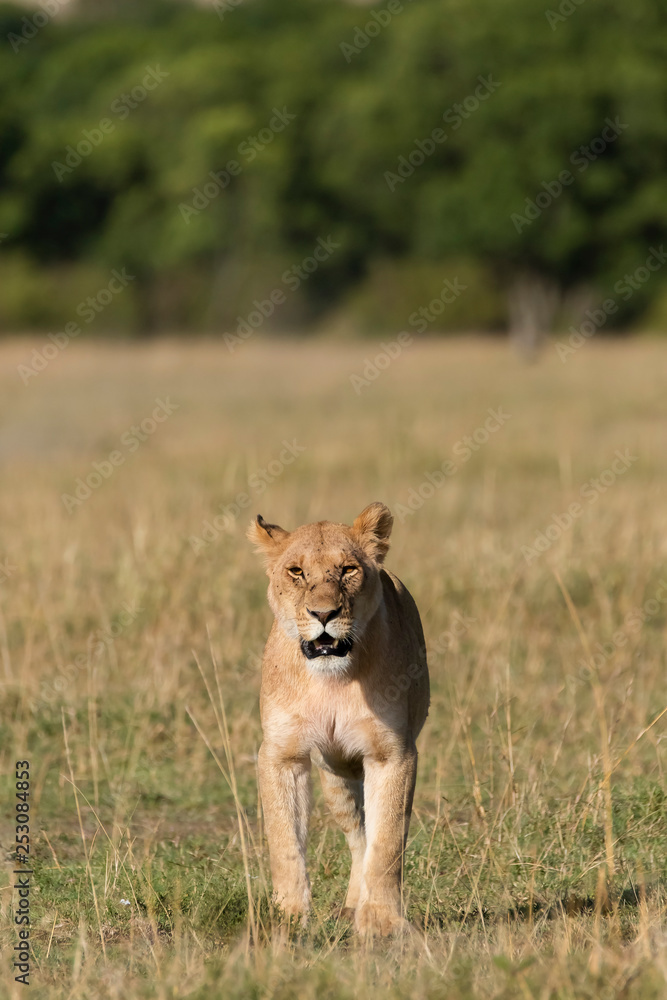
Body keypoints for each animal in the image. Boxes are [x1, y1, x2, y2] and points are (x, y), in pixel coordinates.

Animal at [247, 502, 429, 936]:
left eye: (348, 569)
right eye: (296, 572)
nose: (324, 613)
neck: (331, 680)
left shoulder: (392, 754)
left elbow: (387, 843)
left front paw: (381, 922)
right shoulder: (281, 754)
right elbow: (284, 840)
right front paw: (288, 917)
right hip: (335, 774)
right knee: (357, 833)